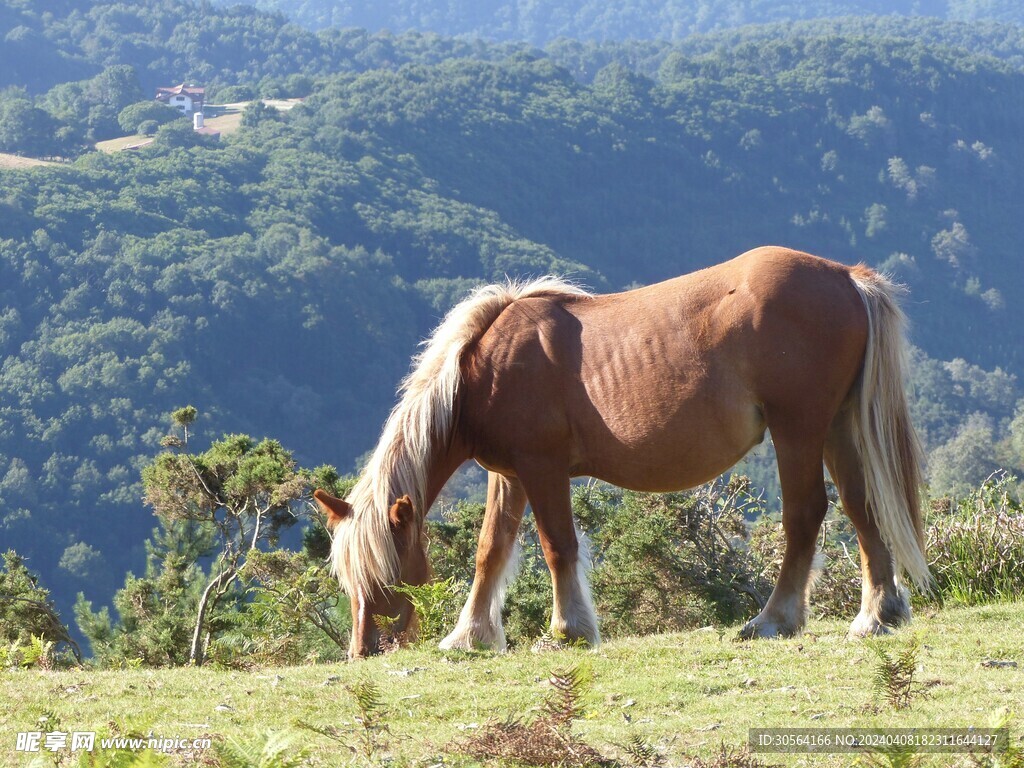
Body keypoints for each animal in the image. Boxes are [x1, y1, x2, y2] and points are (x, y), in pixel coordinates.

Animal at [315, 247, 933, 663]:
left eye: (385, 574)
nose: (364, 649)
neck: (481, 370)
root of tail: (846, 278)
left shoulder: (541, 468)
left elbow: (557, 545)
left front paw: (569, 630)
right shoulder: (508, 476)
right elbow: (491, 551)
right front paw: (470, 635)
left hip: (798, 430)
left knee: (806, 516)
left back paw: (774, 619)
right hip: (837, 428)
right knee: (862, 509)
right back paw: (877, 614)